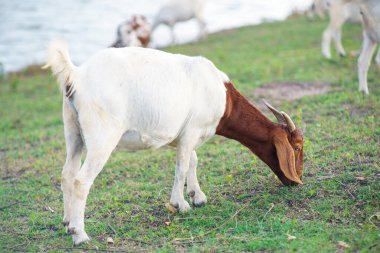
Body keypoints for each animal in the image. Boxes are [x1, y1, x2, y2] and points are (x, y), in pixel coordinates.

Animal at [44, 40, 304, 245]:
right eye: (297, 147)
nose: (296, 181)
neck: (224, 99)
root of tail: (77, 75)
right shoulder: (191, 131)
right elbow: (181, 166)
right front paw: (180, 204)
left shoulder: (177, 136)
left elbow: (192, 160)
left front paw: (197, 196)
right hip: (101, 136)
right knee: (81, 181)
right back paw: (80, 234)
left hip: (73, 131)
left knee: (67, 173)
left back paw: (67, 222)